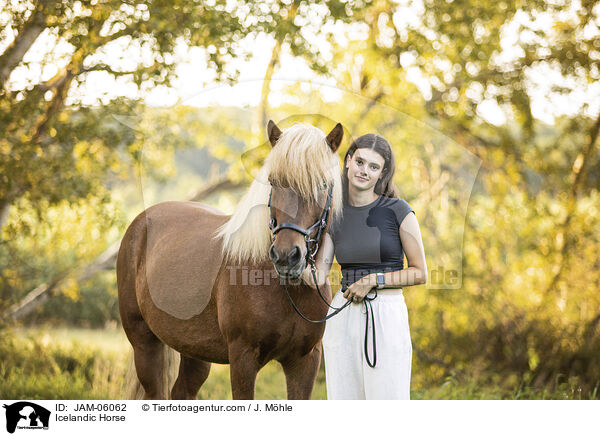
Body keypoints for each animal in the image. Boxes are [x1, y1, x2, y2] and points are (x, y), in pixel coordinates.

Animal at [116, 120, 342, 398]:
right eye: (273, 182)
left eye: (322, 184)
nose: (286, 256)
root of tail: (140, 222)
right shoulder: (243, 358)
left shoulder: (305, 360)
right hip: (145, 343)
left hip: (194, 352)